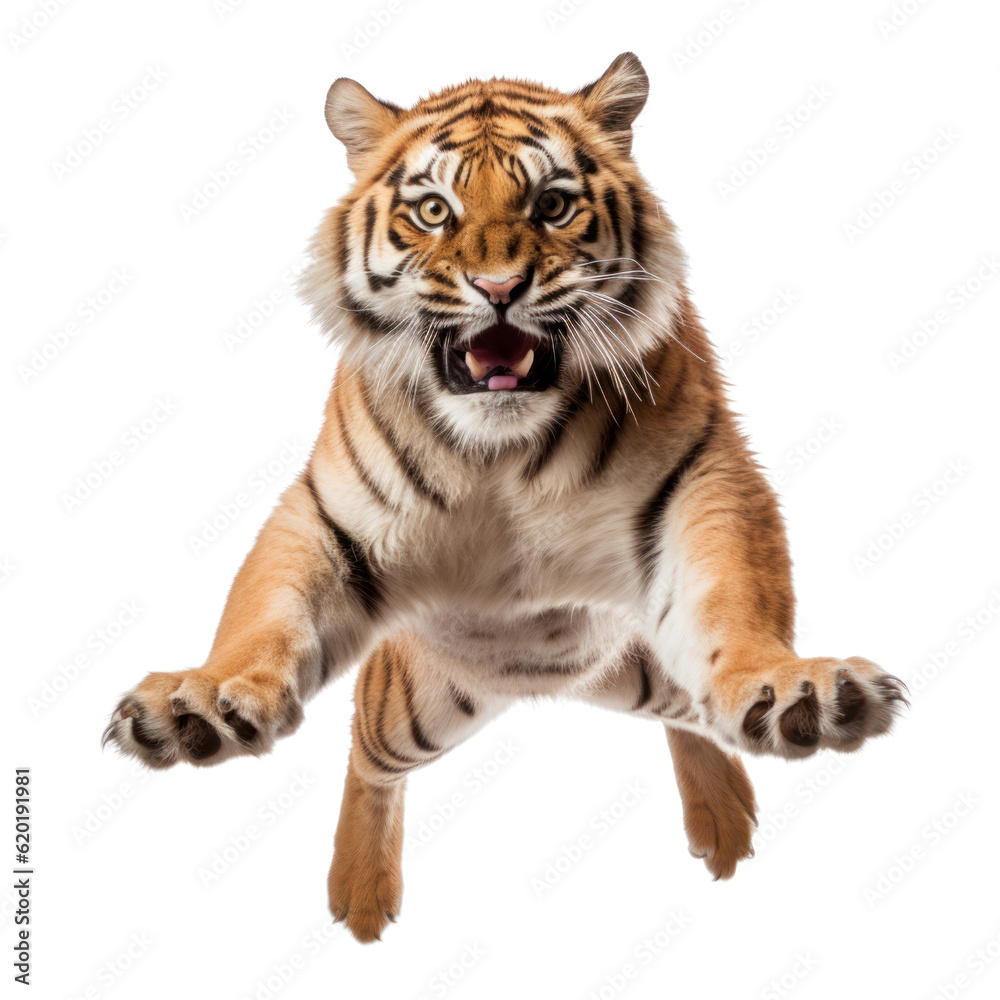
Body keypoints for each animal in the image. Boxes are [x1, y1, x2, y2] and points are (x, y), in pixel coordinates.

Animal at [102, 53, 906, 943]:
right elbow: (260, 611)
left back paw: (723, 822)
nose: (497, 287)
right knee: (366, 756)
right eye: (432, 210)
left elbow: (736, 599)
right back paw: (360, 895)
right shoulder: (324, 515)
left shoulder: (704, 481)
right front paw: (202, 700)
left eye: (551, 205)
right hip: (414, 707)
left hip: (642, 667)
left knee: (684, 710)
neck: (502, 450)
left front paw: (794, 690)